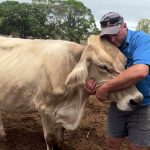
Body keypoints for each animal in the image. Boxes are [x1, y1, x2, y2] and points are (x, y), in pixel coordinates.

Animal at [0, 35, 142, 150]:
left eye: (125, 63)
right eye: (103, 66)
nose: (137, 99)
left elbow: (61, 133)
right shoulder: (44, 108)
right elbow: (50, 139)